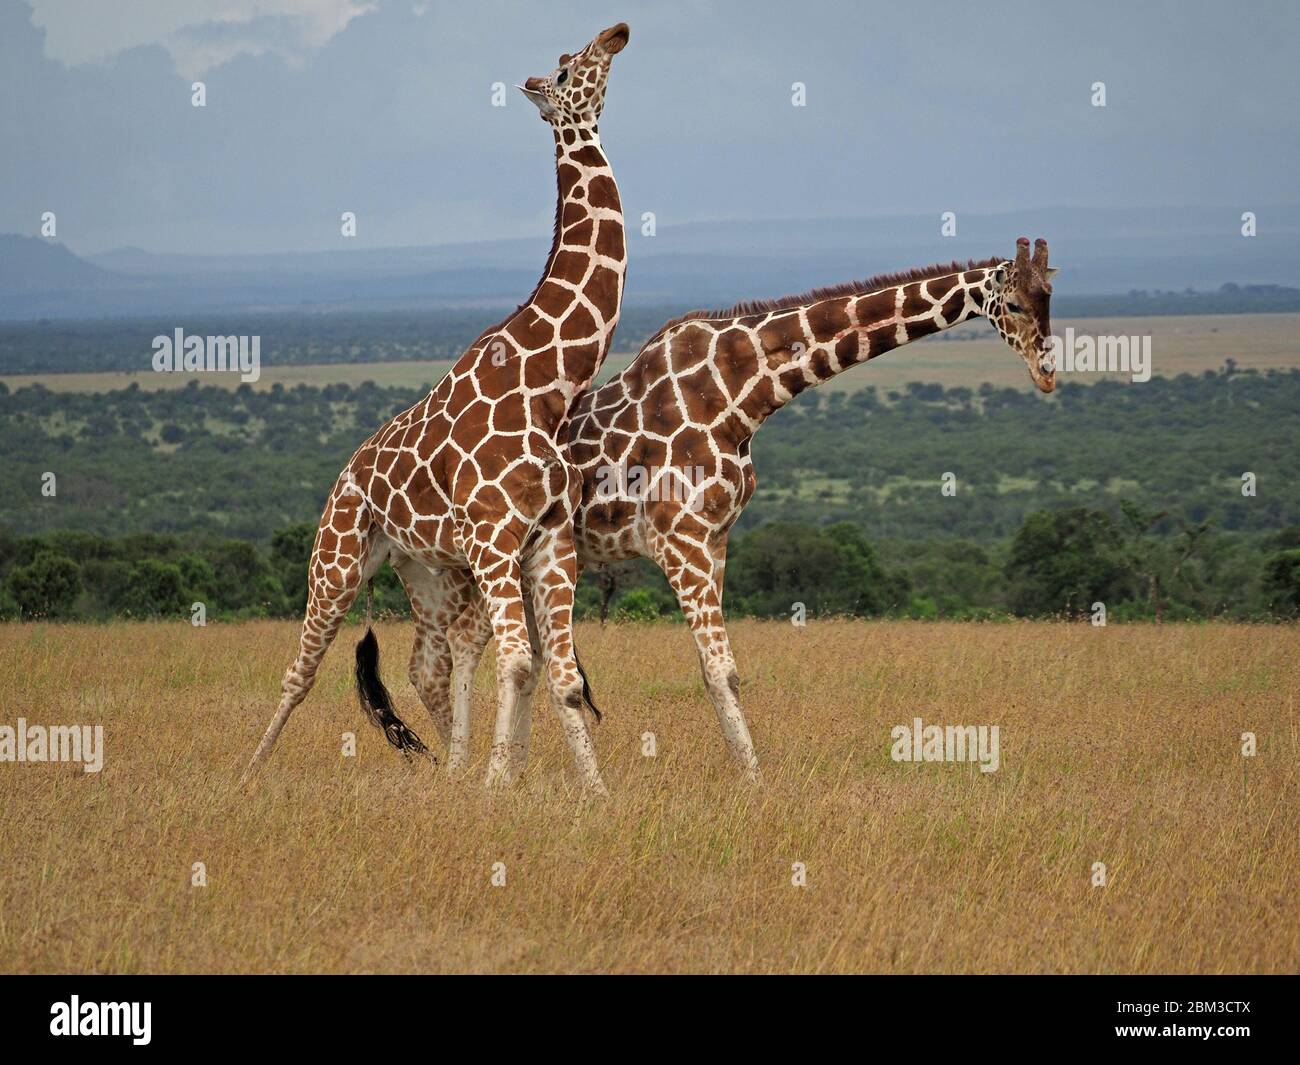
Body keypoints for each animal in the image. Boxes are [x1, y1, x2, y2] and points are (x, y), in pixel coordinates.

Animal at [244, 20, 634, 795]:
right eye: (566, 68)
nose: (617, 32)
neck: (548, 382)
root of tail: (346, 473)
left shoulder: (547, 539)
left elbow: (564, 678)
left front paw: (595, 792)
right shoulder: (495, 537)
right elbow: (520, 663)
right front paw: (495, 786)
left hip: (426, 570)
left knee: (431, 663)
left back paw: (448, 767)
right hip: (338, 556)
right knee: (302, 670)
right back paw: (247, 772)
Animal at [436, 237, 1055, 785]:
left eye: (1051, 296)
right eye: (1015, 305)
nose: (1047, 372)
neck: (739, 393)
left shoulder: (717, 539)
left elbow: (726, 673)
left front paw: (751, 779)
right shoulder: (681, 541)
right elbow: (717, 670)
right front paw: (754, 781)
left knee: (504, 651)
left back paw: (506, 768)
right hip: (491, 553)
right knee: (467, 644)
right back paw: (468, 770)